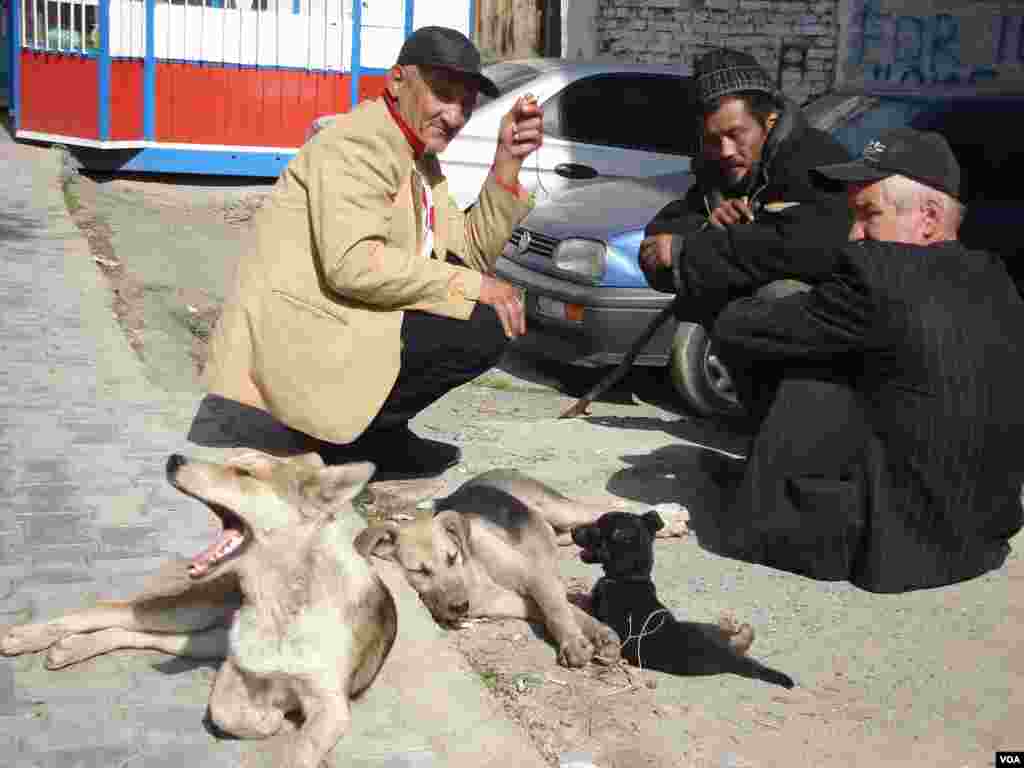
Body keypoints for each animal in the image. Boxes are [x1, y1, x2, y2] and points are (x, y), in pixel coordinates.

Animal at [0, 454, 395, 768]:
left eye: (243, 472)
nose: (174, 458)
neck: (280, 602)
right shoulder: (233, 670)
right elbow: (225, 711)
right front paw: (268, 719)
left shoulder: (331, 706)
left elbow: (301, 750)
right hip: (195, 614)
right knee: (111, 609)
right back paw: (27, 636)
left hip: (203, 641)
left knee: (140, 635)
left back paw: (70, 648)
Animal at [356, 468, 618, 667]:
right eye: (419, 571)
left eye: (452, 557)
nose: (462, 607)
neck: (473, 572)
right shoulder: (511, 600)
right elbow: (563, 610)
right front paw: (597, 635)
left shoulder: (534, 575)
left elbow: (557, 610)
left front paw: (574, 641)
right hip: (561, 531)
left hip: (563, 511)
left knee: (608, 508)